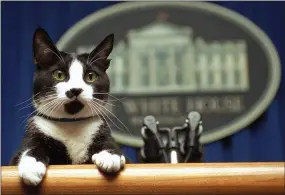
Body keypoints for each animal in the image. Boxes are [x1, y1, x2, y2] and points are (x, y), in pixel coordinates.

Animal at [10, 27, 125, 186]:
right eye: (59, 74)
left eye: (91, 76)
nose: (75, 89)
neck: (71, 124)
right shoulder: (34, 132)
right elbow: (31, 147)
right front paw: (31, 166)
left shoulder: (100, 129)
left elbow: (110, 144)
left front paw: (110, 155)